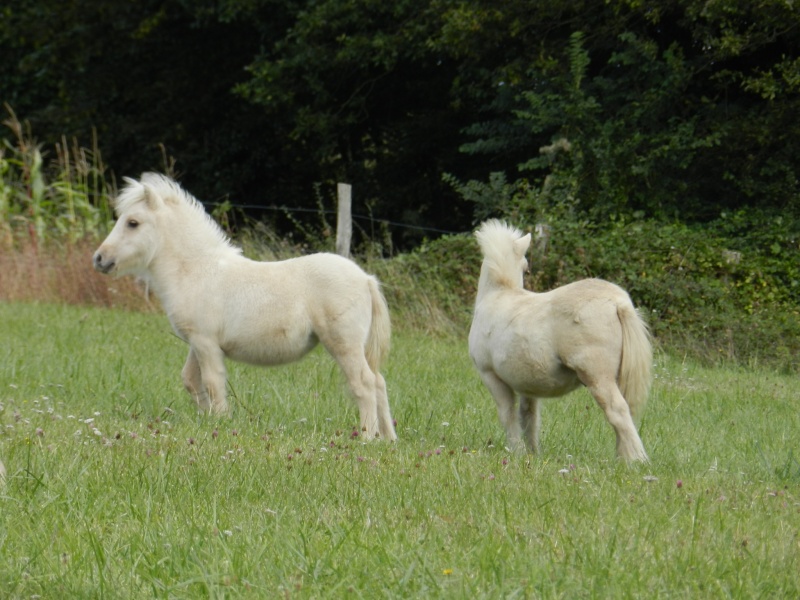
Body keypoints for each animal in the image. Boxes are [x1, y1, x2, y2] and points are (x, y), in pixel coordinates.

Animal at [94, 173, 396, 440]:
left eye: (133, 222)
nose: (99, 258)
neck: (196, 270)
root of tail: (366, 279)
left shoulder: (205, 343)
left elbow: (212, 383)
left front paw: (219, 423)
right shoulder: (197, 342)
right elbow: (191, 380)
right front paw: (208, 420)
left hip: (344, 345)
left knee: (364, 384)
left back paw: (367, 438)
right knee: (379, 382)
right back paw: (388, 439)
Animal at [468, 221, 648, 464]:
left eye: (526, 268)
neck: (498, 295)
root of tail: (617, 302)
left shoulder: (491, 376)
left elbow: (508, 415)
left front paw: (517, 452)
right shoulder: (527, 385)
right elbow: (529, 418)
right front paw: (532, 453)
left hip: (598, 376)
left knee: (617, 411)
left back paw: (636, 461)